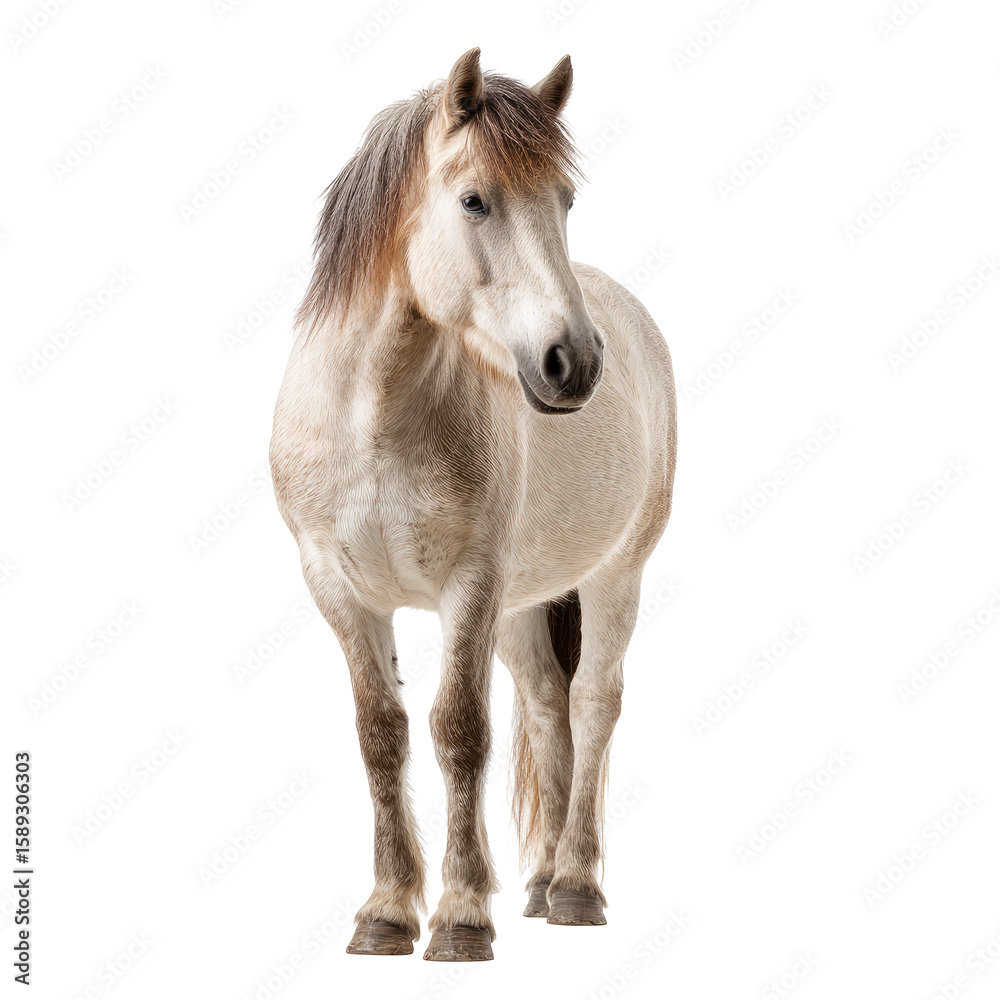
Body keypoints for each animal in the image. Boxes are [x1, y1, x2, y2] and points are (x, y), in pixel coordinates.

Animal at [269, 48, 676, 962]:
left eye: (565, 200)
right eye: (474, 200)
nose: (574, 362)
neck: (375, 414)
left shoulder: (471, 586)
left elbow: (460, 732)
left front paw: (458, 918)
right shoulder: (339, 591)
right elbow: (382, 734)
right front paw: (387, 913)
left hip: (614, 578)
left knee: (593, 704)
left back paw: (577, 886)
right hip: (526, 605)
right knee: (548, 707)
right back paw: (540, 881)